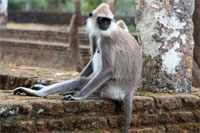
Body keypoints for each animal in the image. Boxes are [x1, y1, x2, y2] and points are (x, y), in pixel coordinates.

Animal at [13, 3, 142, 133]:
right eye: (102, 19)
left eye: (108, 20)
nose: (105, 25)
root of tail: (129, 89)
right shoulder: (94, 35)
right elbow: (91, 62)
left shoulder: (107, 40)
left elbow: (108, 69)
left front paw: (78, 96)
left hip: (112, 87)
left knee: (82, 80)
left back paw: (38, 93)